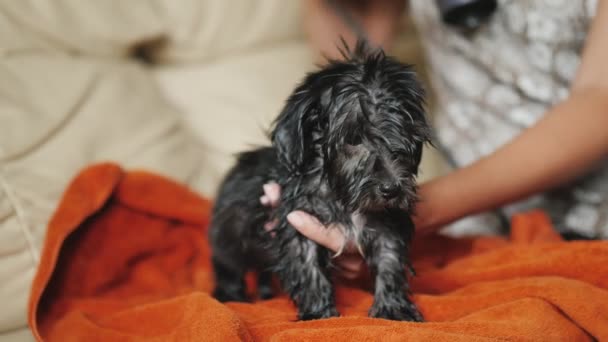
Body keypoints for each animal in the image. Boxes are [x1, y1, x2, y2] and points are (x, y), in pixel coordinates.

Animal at [209, 41, 432, 322]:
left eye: (407, 139)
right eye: (353, 139)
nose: (391, 189)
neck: (342, 196)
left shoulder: (387, 222)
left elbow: (389, 261)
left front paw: (393, 308)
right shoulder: (299, 224)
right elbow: (309, 269)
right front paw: (318, 313)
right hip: (228, 237)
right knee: (227, 267)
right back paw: (231, 295)